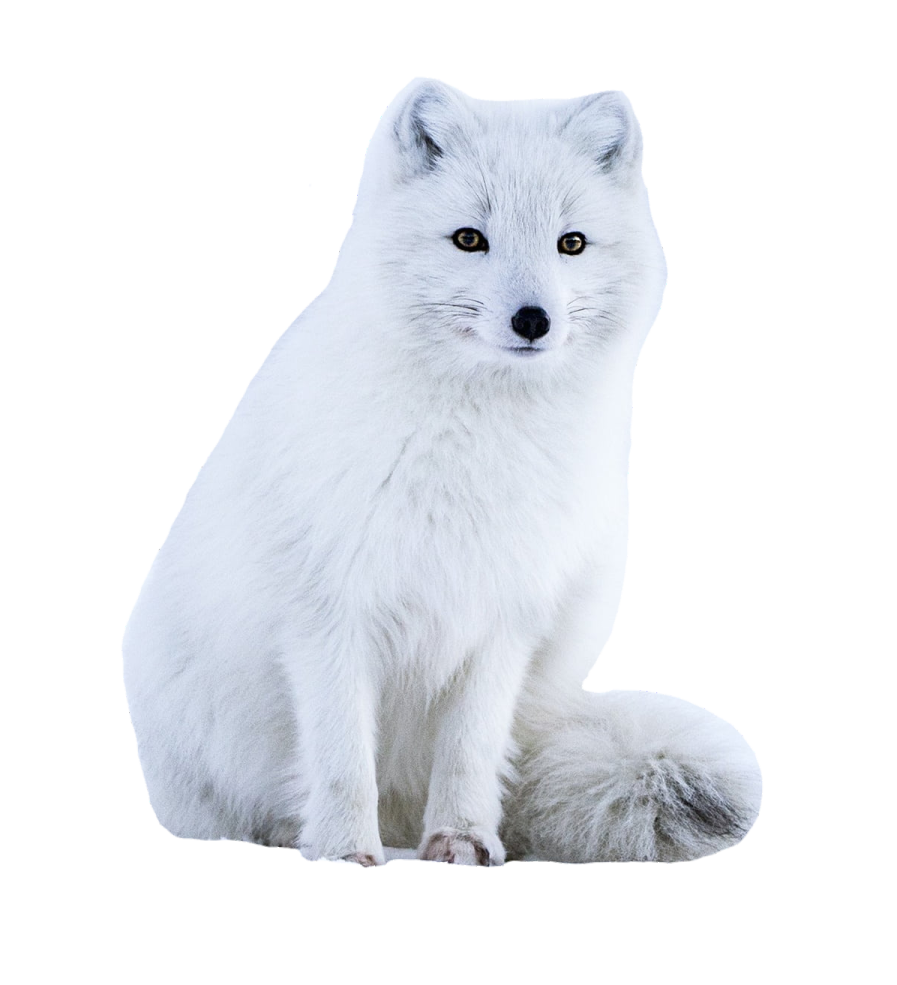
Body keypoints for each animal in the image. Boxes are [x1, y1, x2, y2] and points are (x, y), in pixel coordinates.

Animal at [122, 79, 763, 865]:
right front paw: (343, 850)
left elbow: (469, 750)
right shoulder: (329, 614)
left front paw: (461, 839)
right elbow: (340, 754)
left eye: (571, 243)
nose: (532, 319)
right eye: (469, 239)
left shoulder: (502, 621)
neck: (475, 446)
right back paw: (286, 832)